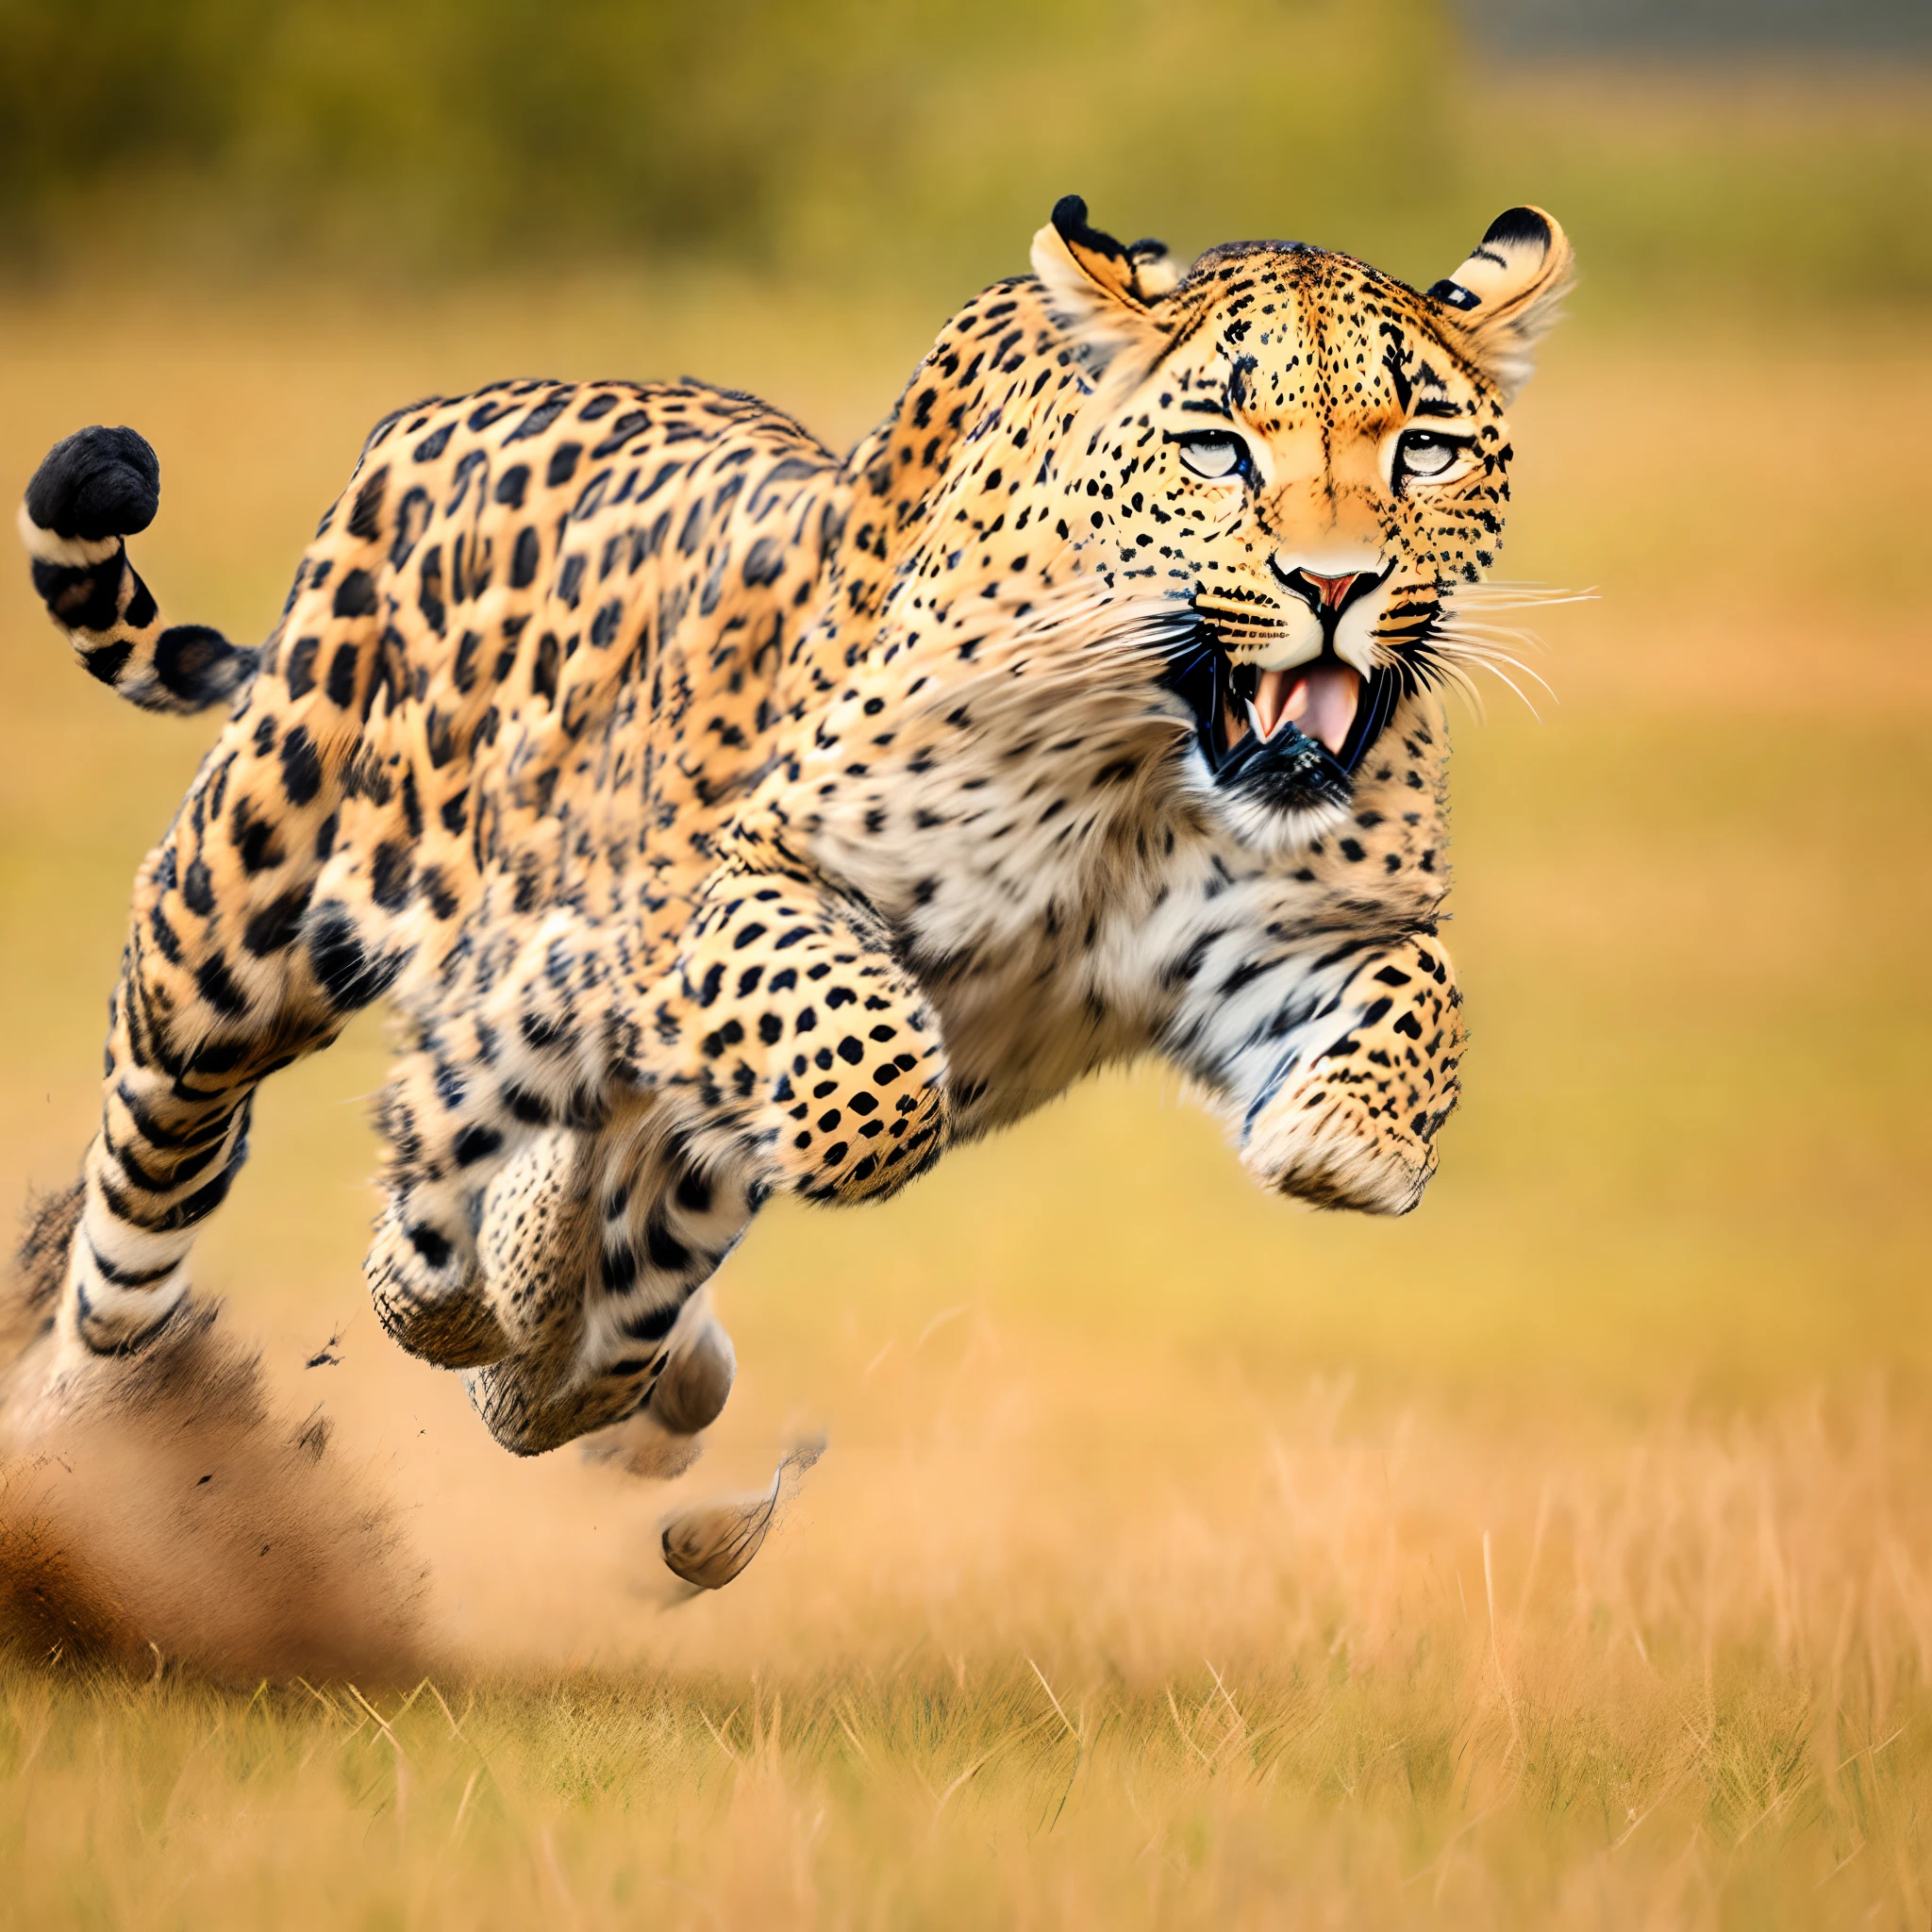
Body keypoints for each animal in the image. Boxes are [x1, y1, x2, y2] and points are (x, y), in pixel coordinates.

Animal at [10, 197, 1572, 1495]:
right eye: (1217, 449)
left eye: (1425, 448)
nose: (1336, 585)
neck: (1146, 761)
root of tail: (424, 418)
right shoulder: (723, 888)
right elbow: (872, 1068)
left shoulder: (1296, 937)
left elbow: (1426, 994)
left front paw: (1346, 1140)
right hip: (224, 938)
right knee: (150, 1230)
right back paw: (96, 1454)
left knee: (568, 1272)